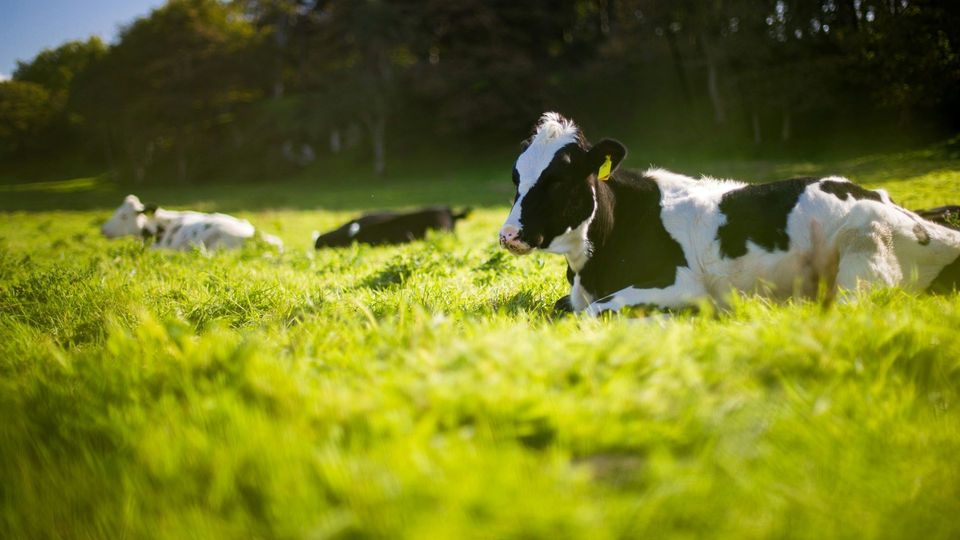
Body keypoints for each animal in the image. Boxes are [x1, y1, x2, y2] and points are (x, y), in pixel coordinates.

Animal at [499, 112, 960, 316]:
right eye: (516, 175)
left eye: (559, 179)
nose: (508, 234)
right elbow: (564, 307)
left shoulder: (679, 283)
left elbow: (594, 312)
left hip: (862, 258)